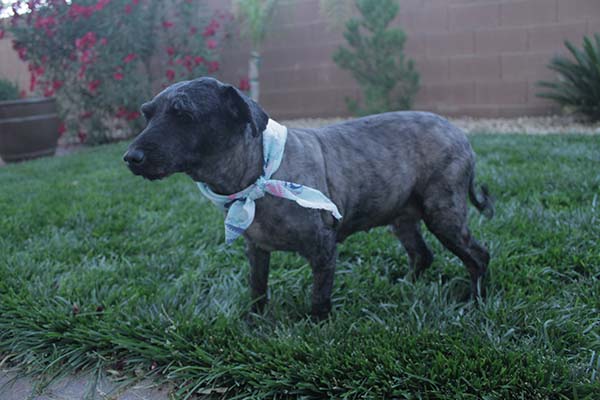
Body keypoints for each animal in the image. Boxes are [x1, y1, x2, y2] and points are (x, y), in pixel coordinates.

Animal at [124, 76, 494, 320]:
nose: (130, 157)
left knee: (479, 256)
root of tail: (460, 134)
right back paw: (406, 286)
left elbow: (319, 297)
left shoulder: (323, 248)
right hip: (403, 218)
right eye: (147, 113)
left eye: (184, 115)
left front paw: (317, 327)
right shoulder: (256, 250)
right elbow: (257, 288)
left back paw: (477, 300)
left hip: (443, 213)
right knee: (422, 255)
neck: (259, 174)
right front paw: (253, 321)